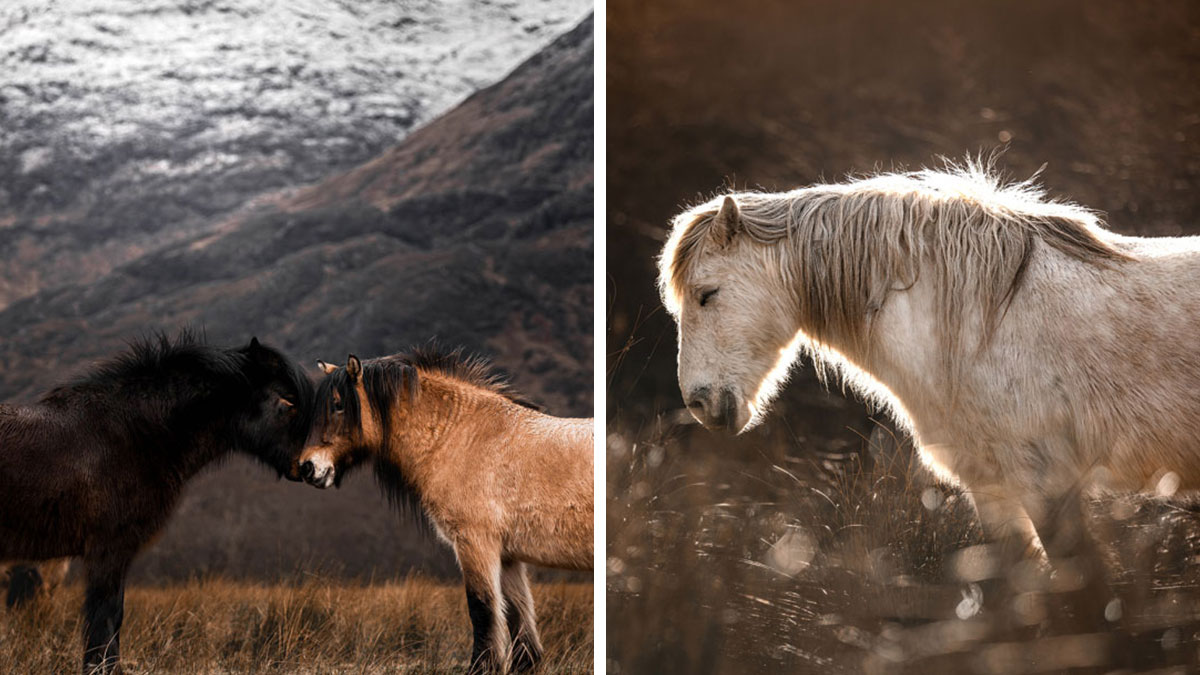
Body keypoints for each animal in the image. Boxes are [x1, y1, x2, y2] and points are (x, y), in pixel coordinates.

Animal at [296, 346, 593, 674]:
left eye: (337, 405)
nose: (308, 467)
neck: (464, 437)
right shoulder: (507, 556)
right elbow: (519, 619)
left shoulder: (475, 544)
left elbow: (482, 609)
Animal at [658, 161, 1200, 634]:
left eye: (707, 294)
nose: (699, 403)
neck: (979, 325)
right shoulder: (993, 488)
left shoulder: (1049, 483)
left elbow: (1090, 601)